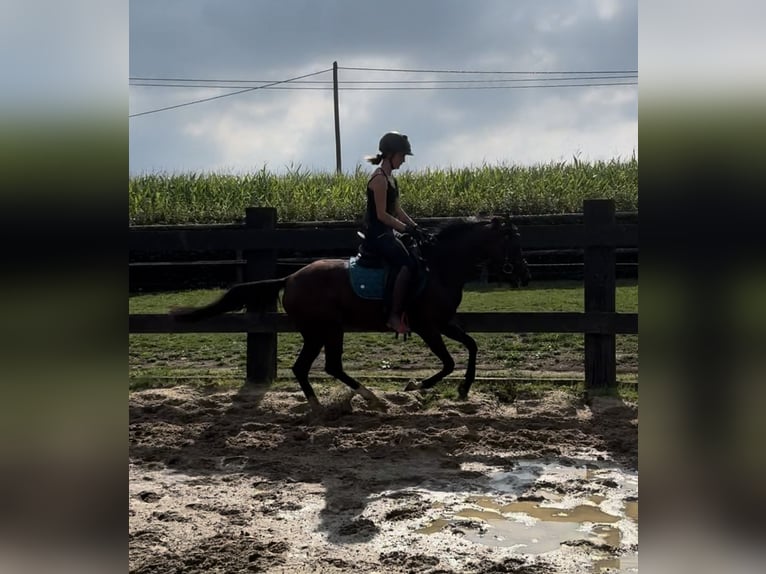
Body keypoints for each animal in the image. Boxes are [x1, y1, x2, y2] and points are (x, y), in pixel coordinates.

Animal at [169, 218, 532, 412]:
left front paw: (464, 389)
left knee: (316, 367)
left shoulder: (444, 322)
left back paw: (342, 403)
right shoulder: (428, 326)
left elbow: (471, 347)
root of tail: (290, 277)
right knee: (320, 366)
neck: (439, 267)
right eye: (513, 243)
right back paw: (358, 402)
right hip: (325, 329)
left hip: (324, 331)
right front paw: (416, 385)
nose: (525, 276)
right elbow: (448, 362)